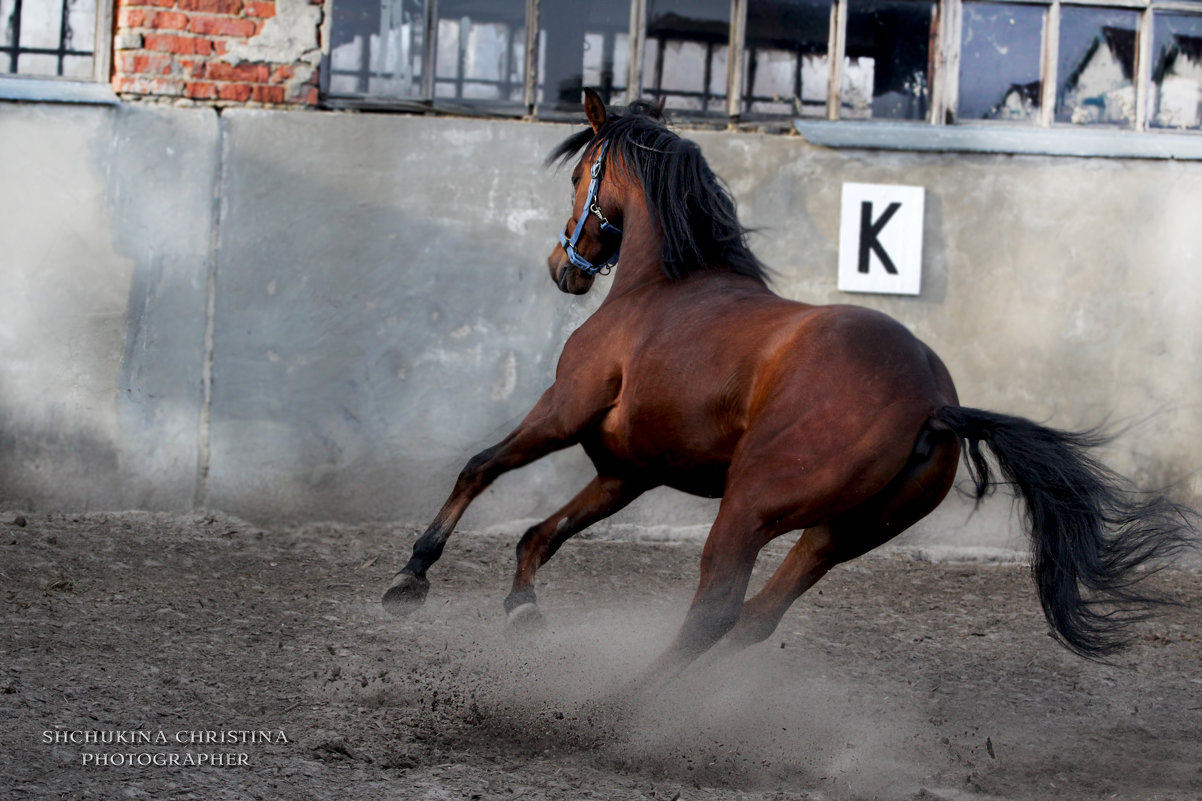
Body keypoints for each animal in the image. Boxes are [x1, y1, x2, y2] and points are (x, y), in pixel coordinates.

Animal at [384, 89, 1192, 673]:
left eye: (584, 175)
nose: (564, 269)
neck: (662, 286)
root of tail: (935, 402)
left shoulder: (564, 409)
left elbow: (479, 468)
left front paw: (412, 575)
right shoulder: (627, 472)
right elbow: (540, 533)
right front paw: (521, 606)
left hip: (749, 508)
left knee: (715, 611)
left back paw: (619, 709)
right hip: (839, 535)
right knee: (754, 618)